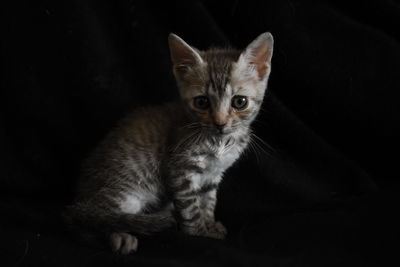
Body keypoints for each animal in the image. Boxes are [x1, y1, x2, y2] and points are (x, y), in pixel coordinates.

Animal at [64, 32, 274, 254]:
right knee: (100, 218)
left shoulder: (213, 175)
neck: (219, 141)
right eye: (202, 102)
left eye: (239, 102)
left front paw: (209, 225)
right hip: (123, 190)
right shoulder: (180, 170)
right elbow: (191, 208)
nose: (220, 123)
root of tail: (80, 198)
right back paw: (120, 235)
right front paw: (199, 232)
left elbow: (208, 202)